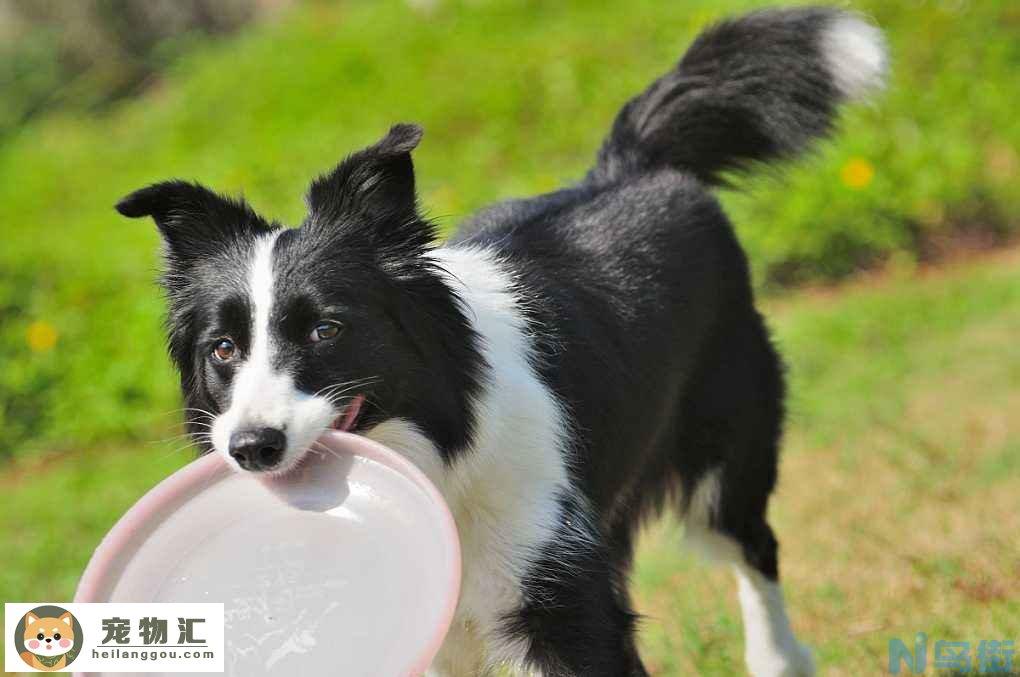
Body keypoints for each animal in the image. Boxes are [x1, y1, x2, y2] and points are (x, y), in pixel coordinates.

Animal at [117, 7, 885, 672]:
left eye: (326, 329)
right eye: (222, 349)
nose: (251, 448)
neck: (441, 447)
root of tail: (631, 164)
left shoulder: (558, 598)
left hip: (725, 446)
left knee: (754, 548)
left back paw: (780, 657)